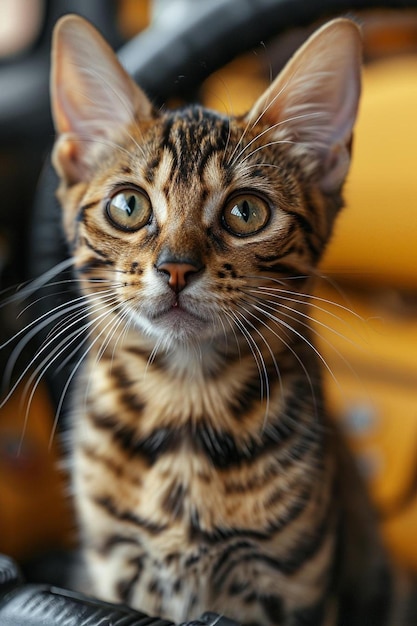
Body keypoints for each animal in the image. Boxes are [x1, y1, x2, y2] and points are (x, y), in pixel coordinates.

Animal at [42, 13, 412, 624]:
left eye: (246, 212)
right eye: (128, 206)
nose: (175, 267)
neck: (185, 399)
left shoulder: (295, 588)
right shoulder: (114, 565)